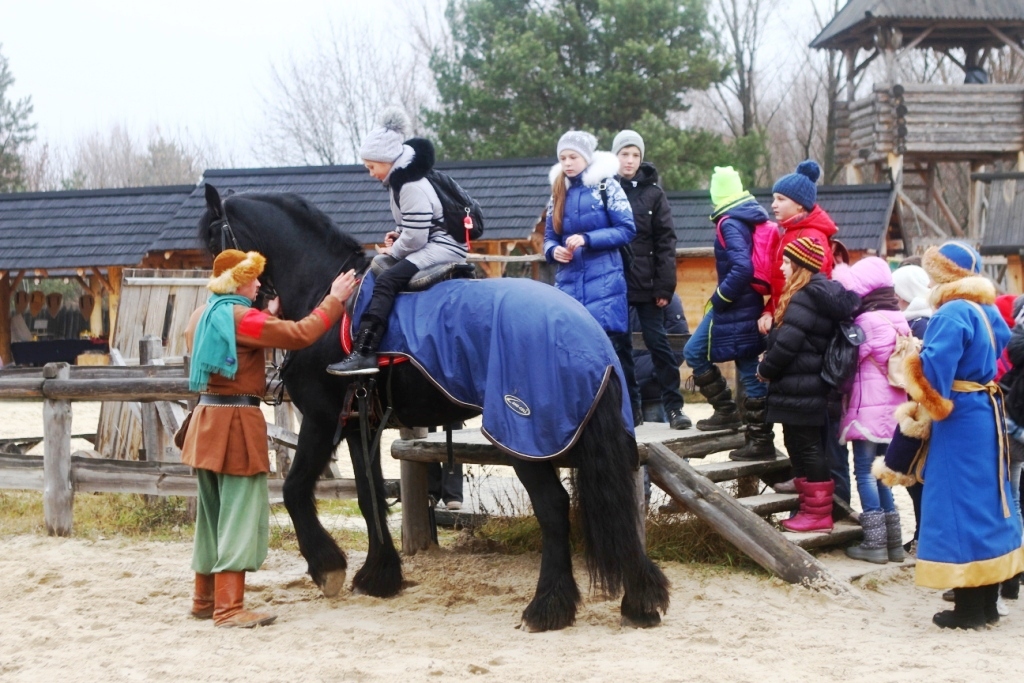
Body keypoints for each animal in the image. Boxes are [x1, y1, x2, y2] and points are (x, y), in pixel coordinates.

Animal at [198, 184, 670, 631]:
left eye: (213, 238)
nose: (220, 301)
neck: (325, 293)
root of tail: (588, 335)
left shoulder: (321, 418)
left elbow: (296, 490)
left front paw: (327, 567)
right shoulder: (357, 424)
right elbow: (369, 497)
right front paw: (380, 575)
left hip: (527, 440)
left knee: (554, 509)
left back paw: (547, 607)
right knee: (614, 505)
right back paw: (639, 602)